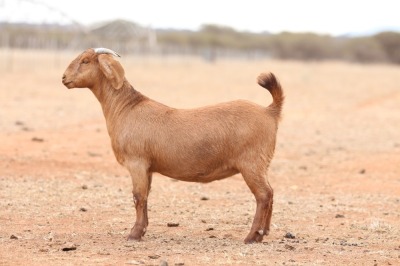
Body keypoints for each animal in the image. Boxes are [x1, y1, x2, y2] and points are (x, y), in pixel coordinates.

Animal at [61, 47, 284, 243]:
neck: (126, 108)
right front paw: (142, 230)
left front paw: (134, 234)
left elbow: (138, 197)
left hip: (252, 163)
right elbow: (146, 197)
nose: (64, 78)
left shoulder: (137, 163)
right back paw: (264, 233)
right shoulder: (148, 168)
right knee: (271, 193)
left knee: (263, 195)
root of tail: (269, 111)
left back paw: (253, 236)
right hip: (260, 164)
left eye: (85, 61)